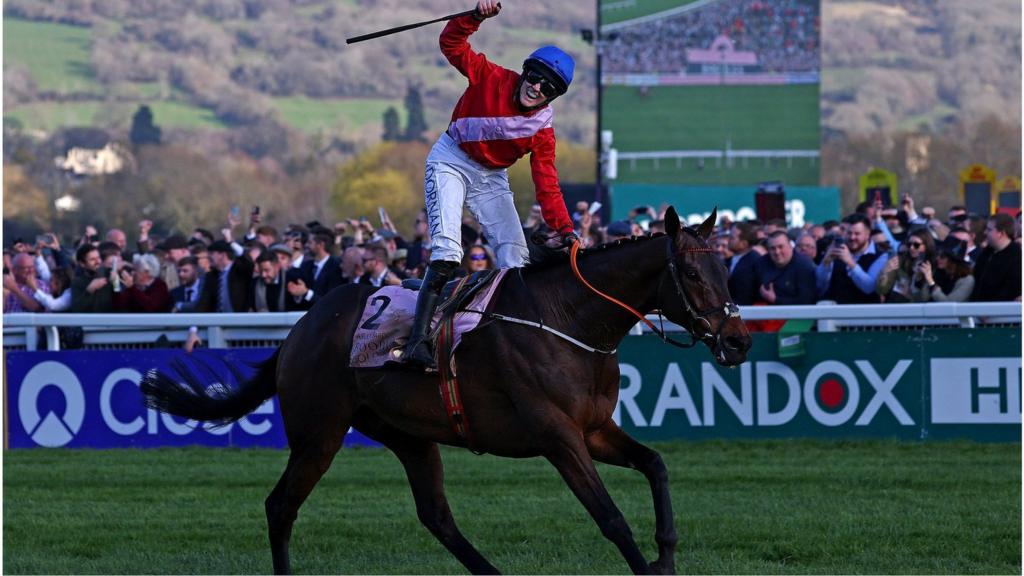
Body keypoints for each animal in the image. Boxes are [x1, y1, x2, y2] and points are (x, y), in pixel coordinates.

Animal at [140, 204, 753, 569]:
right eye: (692, 274)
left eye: (725, 270)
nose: (739, 339)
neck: (569, 320)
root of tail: (299, 330)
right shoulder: (558, 436)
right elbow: (611, 518)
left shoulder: (595, 428)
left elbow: (656, 466)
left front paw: (666, 556)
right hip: (319, 433)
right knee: (279, 506)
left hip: (408, 435)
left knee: (436, 516)